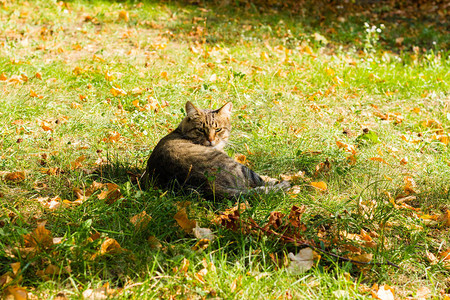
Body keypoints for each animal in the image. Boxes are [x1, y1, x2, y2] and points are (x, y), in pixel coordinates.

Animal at [142, 101, 288, 199]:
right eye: (200, 129)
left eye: (218, 129)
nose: (211, 140)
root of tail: (208, 184)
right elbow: (264, 178)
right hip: (240, 168)